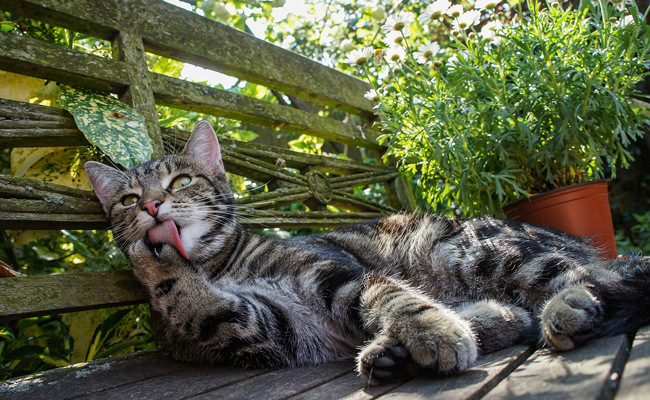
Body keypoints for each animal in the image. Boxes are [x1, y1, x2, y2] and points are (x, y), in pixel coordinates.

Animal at [83, 122, 648, 384]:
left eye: (180, 181)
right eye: (127, 200)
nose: (152, 207)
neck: (214, 266)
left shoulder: (334, 275)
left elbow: (393, 298)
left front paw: (433, 329)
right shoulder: (262, 332)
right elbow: (195, 303)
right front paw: (151, 260)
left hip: (474, 249)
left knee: (590, 276)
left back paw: (567, 306)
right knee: (516, 313)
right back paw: (397, 352)